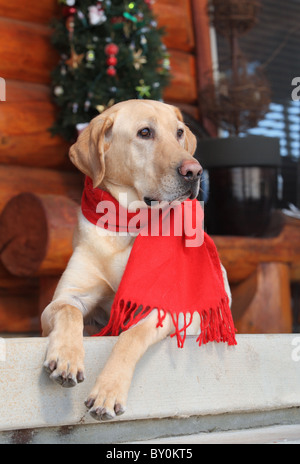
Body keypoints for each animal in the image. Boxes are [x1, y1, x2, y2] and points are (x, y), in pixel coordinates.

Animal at [41, 99, 230, 422]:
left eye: (179, 133)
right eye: (145, 132)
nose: (194, 171)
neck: (126, 226)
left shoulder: (165, 308)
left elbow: (130, 336)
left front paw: (107, 390)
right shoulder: (64, 298)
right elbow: (69, 312)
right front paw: (66, 356)